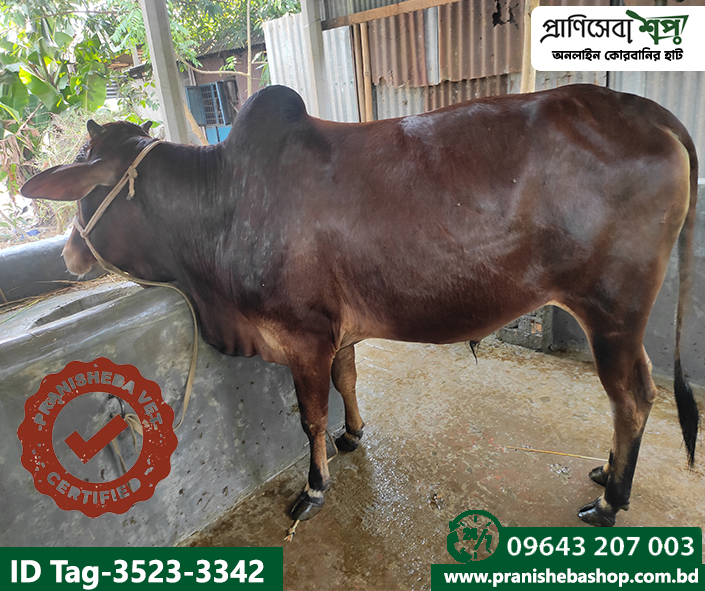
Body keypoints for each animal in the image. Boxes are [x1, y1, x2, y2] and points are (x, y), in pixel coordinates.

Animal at [21, 84, 699, 527]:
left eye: (84, 188)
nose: (70, 255)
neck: (223, 207)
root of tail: (644, 109)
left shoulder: (303, 336)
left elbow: (309, 417)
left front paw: (313, 488)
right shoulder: (338, 334)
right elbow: (347, 382)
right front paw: (353, 435)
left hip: (612, 310)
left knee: (632, 398)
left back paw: (610, 501)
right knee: (636, 394)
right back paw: (605, 476)